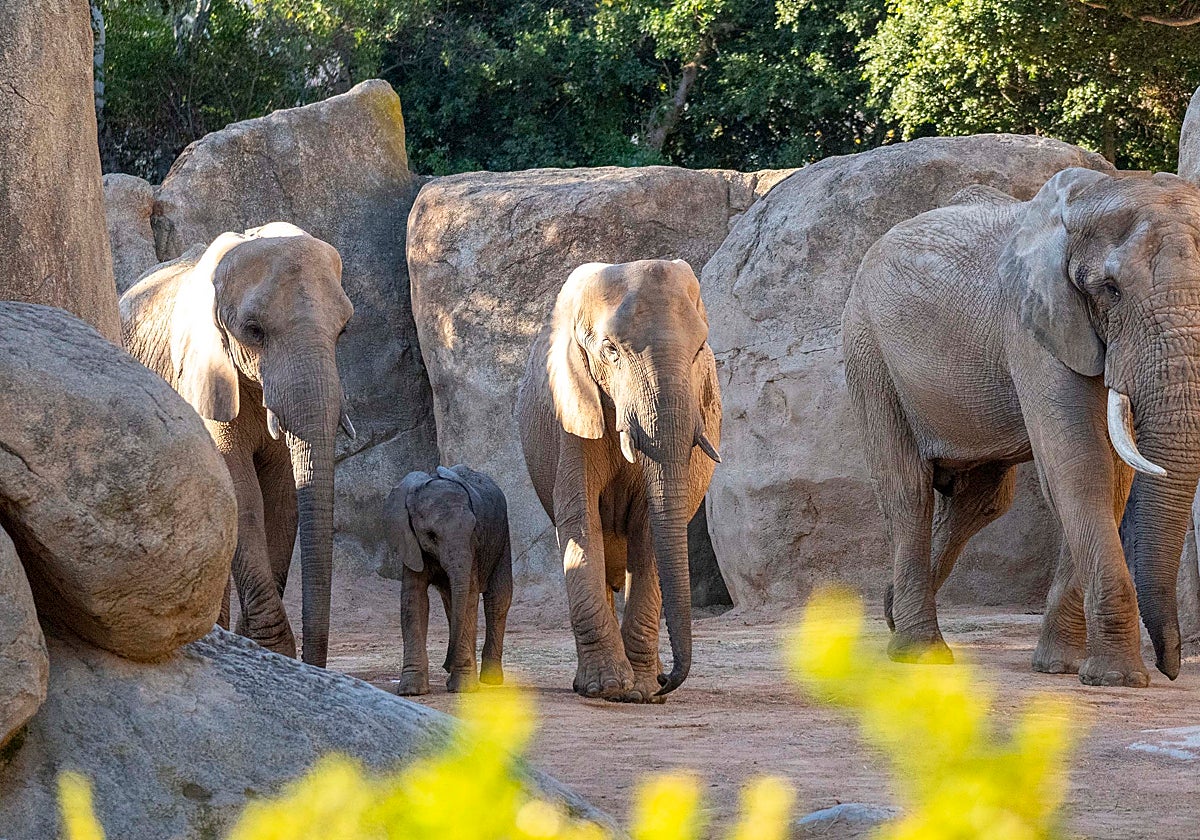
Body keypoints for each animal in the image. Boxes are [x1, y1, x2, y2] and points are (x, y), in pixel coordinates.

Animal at [120, 222, 354, 667]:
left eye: (344, 329)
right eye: (254, 331)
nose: (312, 663)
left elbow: (282, 498)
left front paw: (260, 649)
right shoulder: (204, 375)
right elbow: (242, 496)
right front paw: (272, 651)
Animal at [381, 465, 512, 695]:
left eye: (474, 530)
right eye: (431, 535)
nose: (444, 665)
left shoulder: (474, 547)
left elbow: (469, 596)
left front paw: (464, 688)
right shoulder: (411, 543)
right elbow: (414, 599)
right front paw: (411, 691)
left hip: (502, 538)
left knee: (497, 600)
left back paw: (490, 680)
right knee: (452, 602)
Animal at [515, 259, 722, 702]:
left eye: (699, 350)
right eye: (610, 352)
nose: (667, 683)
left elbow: (651, 526)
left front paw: (640, 691)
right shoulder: (573, 414)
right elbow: (580, 520)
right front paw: (608, 688)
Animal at [843, 168, 1200, 687]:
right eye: (1111, 290)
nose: (1170, 668)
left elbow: (1111, 477)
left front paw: (1060, 668)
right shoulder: (1033, 325)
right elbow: (1080, 467)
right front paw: (1119, 679)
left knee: (982, 500)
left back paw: (892, 611)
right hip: (867, 349)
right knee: (907, 489)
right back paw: (921, 654)